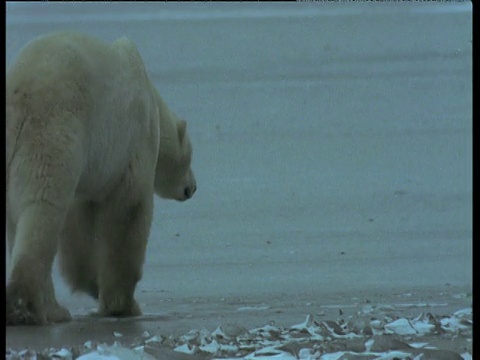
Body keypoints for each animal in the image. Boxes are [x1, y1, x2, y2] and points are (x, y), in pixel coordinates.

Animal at [5, 32, 197, 326]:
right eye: (190, 155)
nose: (192, 188)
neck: (151, 97)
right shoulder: (133, 141)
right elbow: (128, 212)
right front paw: (123, 305)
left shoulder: (90, 170)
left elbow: (80, 229)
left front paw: (93, 284)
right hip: (53, 134)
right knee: (41, 210)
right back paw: (30, 308)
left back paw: (51, 308)